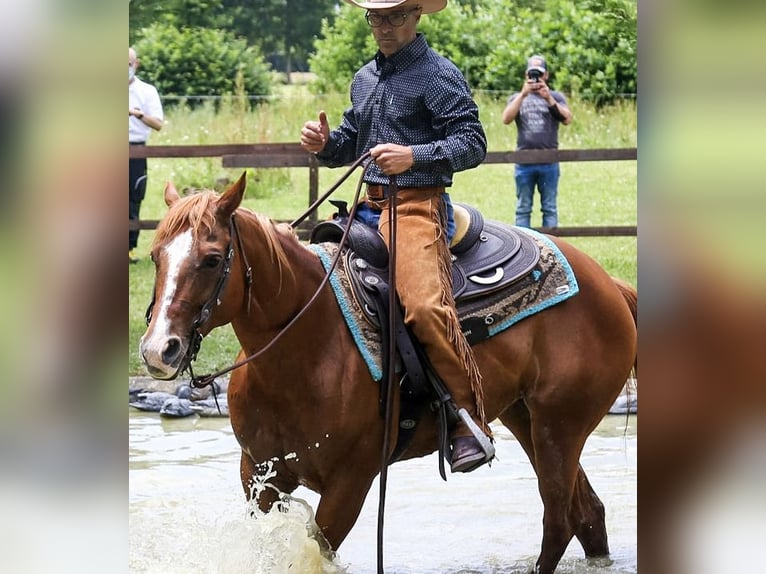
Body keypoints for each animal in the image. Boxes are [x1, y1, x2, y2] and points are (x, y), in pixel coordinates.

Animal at [139, 173, 637, 574]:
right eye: (156, 255)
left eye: (211, 258)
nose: (159, 349)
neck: (305, 347)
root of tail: (608, 284)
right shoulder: (258, 474)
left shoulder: (352, 482)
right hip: (526, 417)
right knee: (587, 514)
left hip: (561, 426)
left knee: (559, 518)